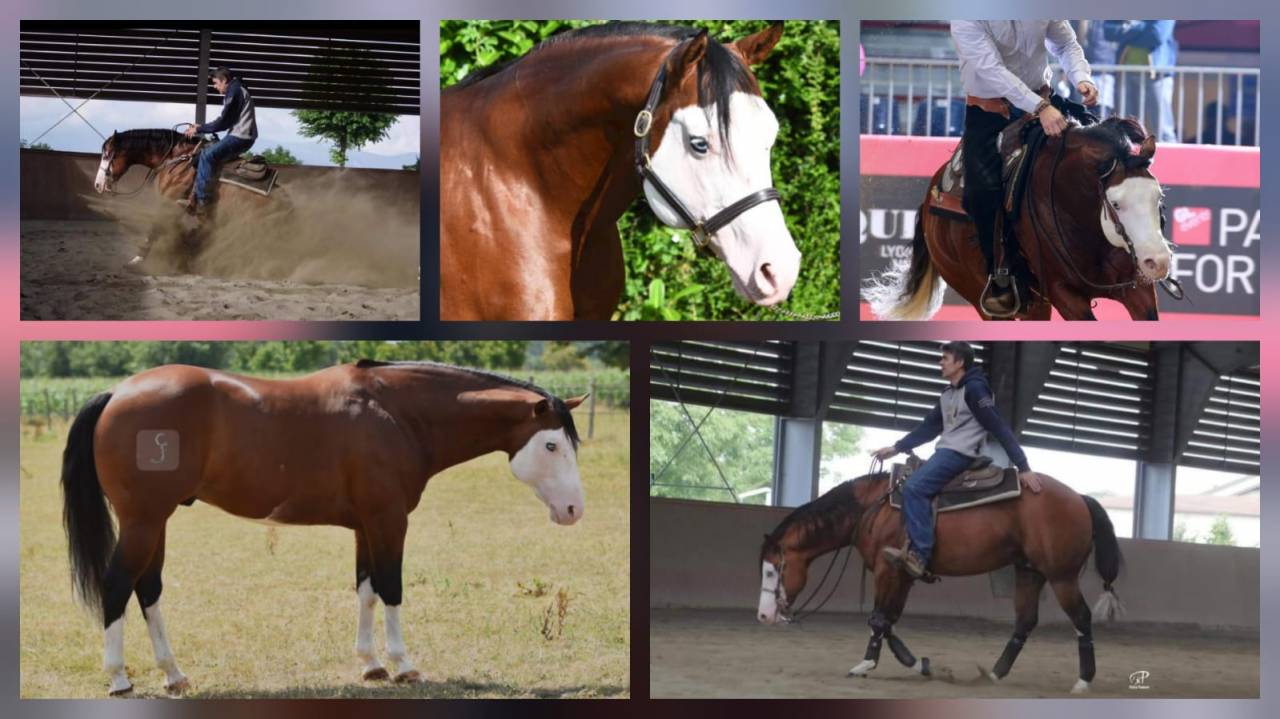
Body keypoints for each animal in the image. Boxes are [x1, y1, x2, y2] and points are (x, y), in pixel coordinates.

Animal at [61, 360, 587, 696]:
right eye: (552, 445)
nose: (574, 510)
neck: (397, 413)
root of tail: (117, 393)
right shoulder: (389, 519)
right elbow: (392, 587)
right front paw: (403, 666)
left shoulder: (365, 525)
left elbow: (366, 589)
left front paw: (371, 666)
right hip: (144, 521)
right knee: (117, 585)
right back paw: (119, 679)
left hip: (157, 521)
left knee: (147, 589)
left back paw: (174, 675)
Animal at [92, 128, 277, 269]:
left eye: (107, 154)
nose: (97, 184)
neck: (176, 160)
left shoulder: (170, 200)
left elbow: (155, 228)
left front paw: (137, 260)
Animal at [757, 469, 1123, 693]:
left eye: (772, 571)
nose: (763, 616)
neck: (874, 508)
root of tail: (1080, 498)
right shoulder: (903, 574)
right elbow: (887, 621)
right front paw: (919, 664)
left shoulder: (887, 570)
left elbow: (877, 619)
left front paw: (865, 665)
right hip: (1028, 572)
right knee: (1025, 621)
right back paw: (993, 674)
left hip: (1061, 576)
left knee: (1081, 618)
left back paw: (1083, 681)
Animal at [863, 116, 1174, 321]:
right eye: (1116, 204)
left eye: (1158, 197)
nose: (1158, 262)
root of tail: (930, 201)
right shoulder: (1066, 295)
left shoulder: (1138, 290)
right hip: (979, 293)